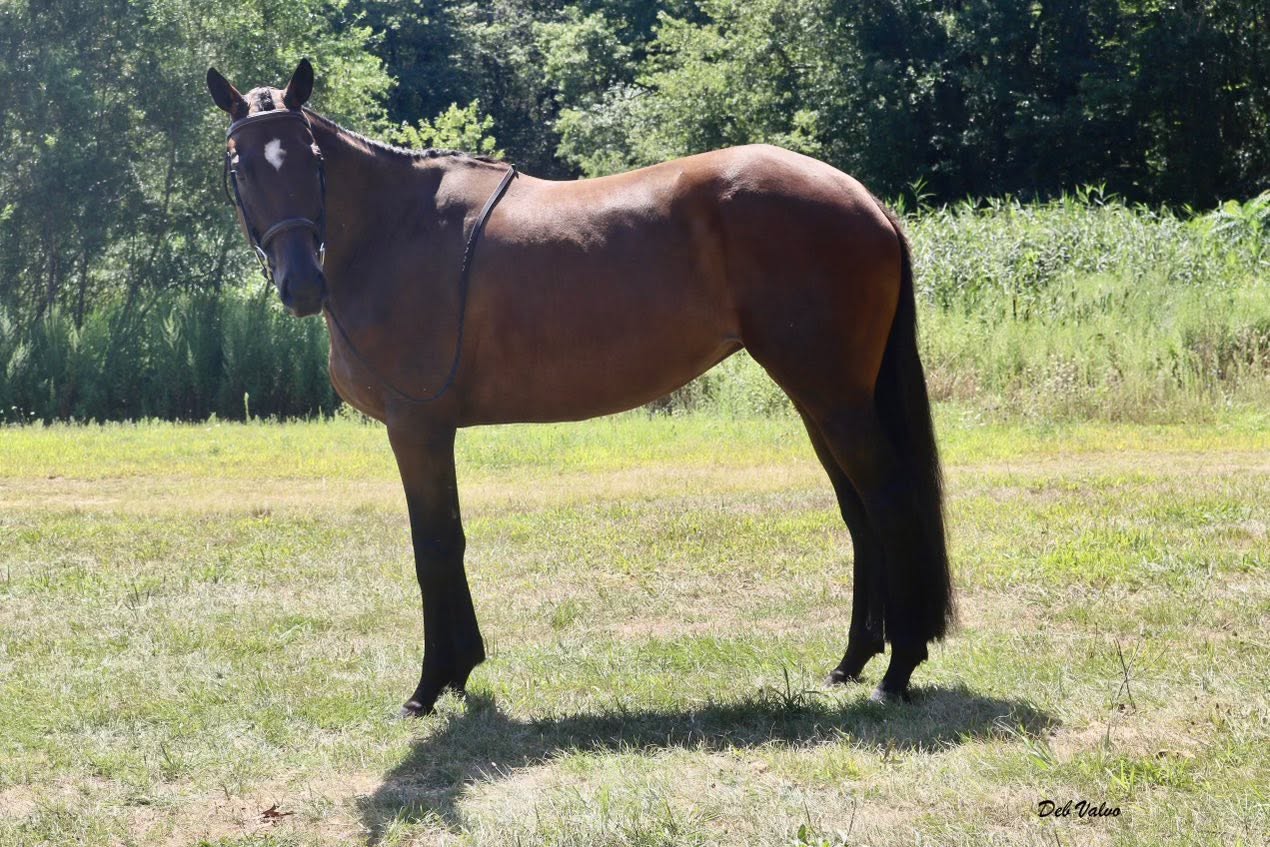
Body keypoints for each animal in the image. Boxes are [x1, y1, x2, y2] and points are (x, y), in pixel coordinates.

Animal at [205, 59, 954, 716]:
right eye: (241, 167)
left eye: (312, 159)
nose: (302, 285)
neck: (400, 230)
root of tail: (863, 198)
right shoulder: (430, 431)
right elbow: (450, 539)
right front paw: (460, 669)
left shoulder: (416, 428)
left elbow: (434, 546)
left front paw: (430, 685)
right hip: (821, 400)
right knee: (858, 512)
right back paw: (853, 660)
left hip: (834, 398)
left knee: (888, 500)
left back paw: (898, 669)